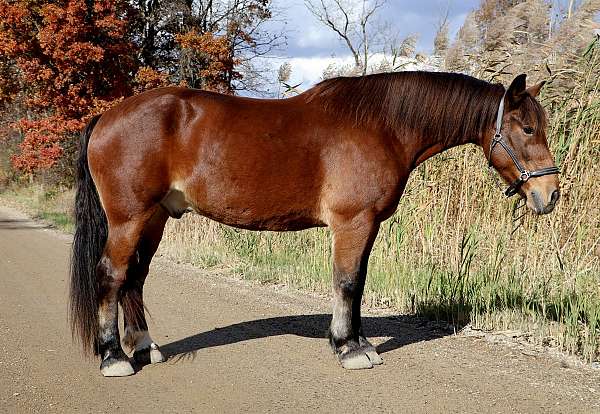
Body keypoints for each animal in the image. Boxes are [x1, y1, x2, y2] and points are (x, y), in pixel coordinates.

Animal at [71, 73, 564, 376]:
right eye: (525, 128)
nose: (551, 194)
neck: (382, 125)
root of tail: (107, 116)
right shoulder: (351, 223)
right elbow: (346, 282)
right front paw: (348, 348)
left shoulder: (368, 227)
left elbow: (358, 283)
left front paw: (359, 342)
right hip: (128, 219)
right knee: (111, 276)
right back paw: (114, 357)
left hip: (154, 218)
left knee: (135, 278)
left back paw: (145, 347)